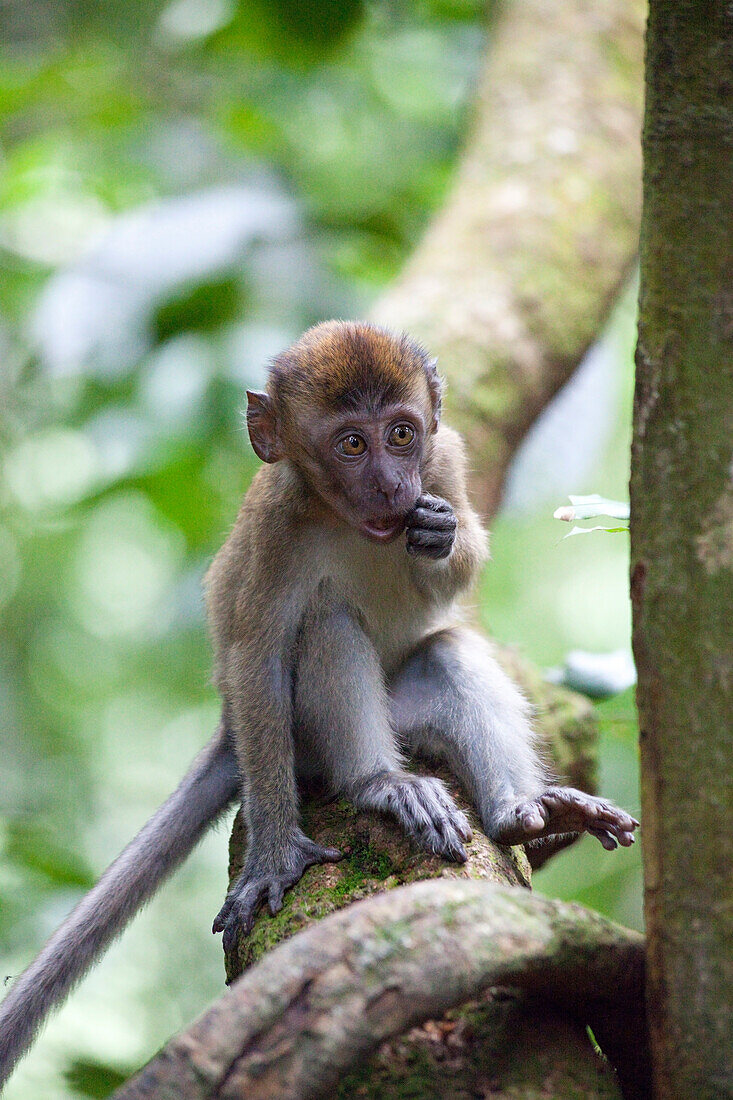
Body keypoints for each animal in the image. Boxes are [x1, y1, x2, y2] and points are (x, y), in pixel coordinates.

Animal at [0, 319, 633, 1082]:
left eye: (402, 434)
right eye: (351, 444)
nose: (391, 484)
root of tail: (223, 733)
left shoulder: (444, 459)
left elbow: (461, 569)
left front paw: (442, 534)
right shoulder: (276, 526)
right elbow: (257, 662)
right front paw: (275, 853)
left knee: (446, 649)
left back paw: (521, 812)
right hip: (305, 738)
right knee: (325, 624)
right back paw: (383, 783)